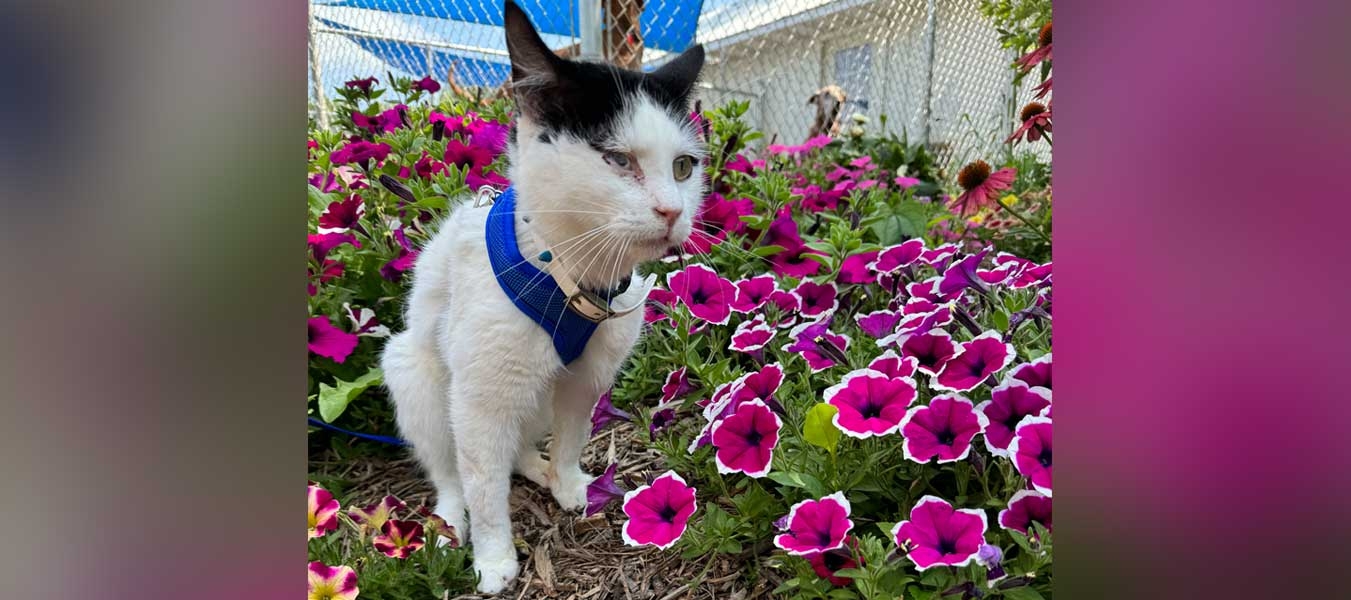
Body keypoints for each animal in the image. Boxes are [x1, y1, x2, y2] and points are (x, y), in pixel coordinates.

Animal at [375, 1, 702, 591]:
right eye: (617, 160)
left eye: (683, 167)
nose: (672, 211)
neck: (570, 271)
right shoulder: (479, 399)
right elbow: (483, 487)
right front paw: (494, 559)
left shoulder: (586, 378)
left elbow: (573, 434)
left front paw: (569, 483)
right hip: (415, 374)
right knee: (452, 469)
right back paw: (448, 519)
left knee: (516, 446)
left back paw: (534, 466)